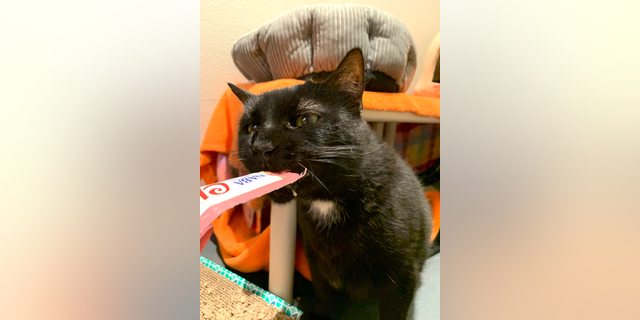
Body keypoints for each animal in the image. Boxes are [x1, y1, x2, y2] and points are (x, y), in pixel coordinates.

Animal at [228, 48, 432, 320]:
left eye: (305, 120)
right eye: (251, 127)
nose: (261, 147)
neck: (327, 199)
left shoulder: (402, 275)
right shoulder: (317, 262)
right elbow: (325, 297)